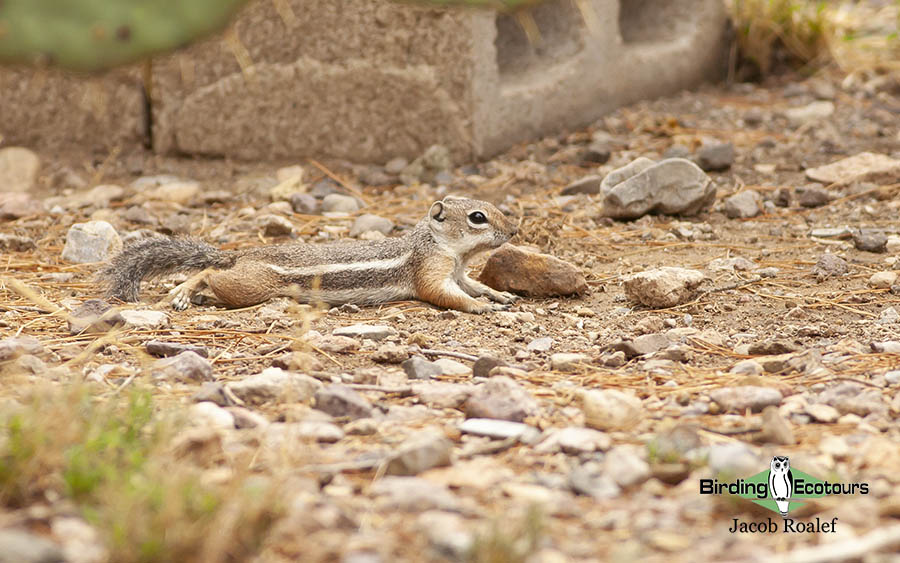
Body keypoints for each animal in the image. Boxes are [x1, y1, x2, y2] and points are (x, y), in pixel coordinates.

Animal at [100, 197, 520, 312]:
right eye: (478, 217)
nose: (514, 230)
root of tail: (239, 255)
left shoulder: (459, 271)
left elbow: (472, 285)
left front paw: (499, 295)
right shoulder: (430, 269)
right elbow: (444, 294)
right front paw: (480, 307)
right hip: (250, 285)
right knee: (210, 275)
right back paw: (185, 292)